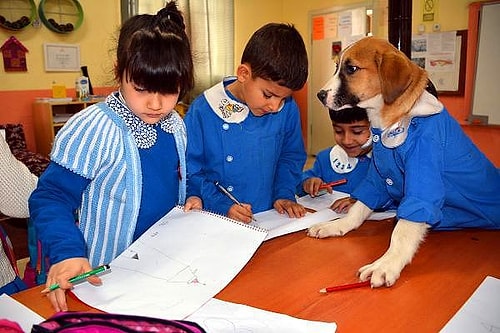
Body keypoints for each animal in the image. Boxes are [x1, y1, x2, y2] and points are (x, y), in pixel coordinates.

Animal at [308, 35, 500, 286]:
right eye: (336, 67)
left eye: (351, 69)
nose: (320, 95)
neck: (391, 119)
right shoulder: (379, 178)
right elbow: (359, 207)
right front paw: (338, 225)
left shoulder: (424, 170)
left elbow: (404, 229)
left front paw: (387, 263)